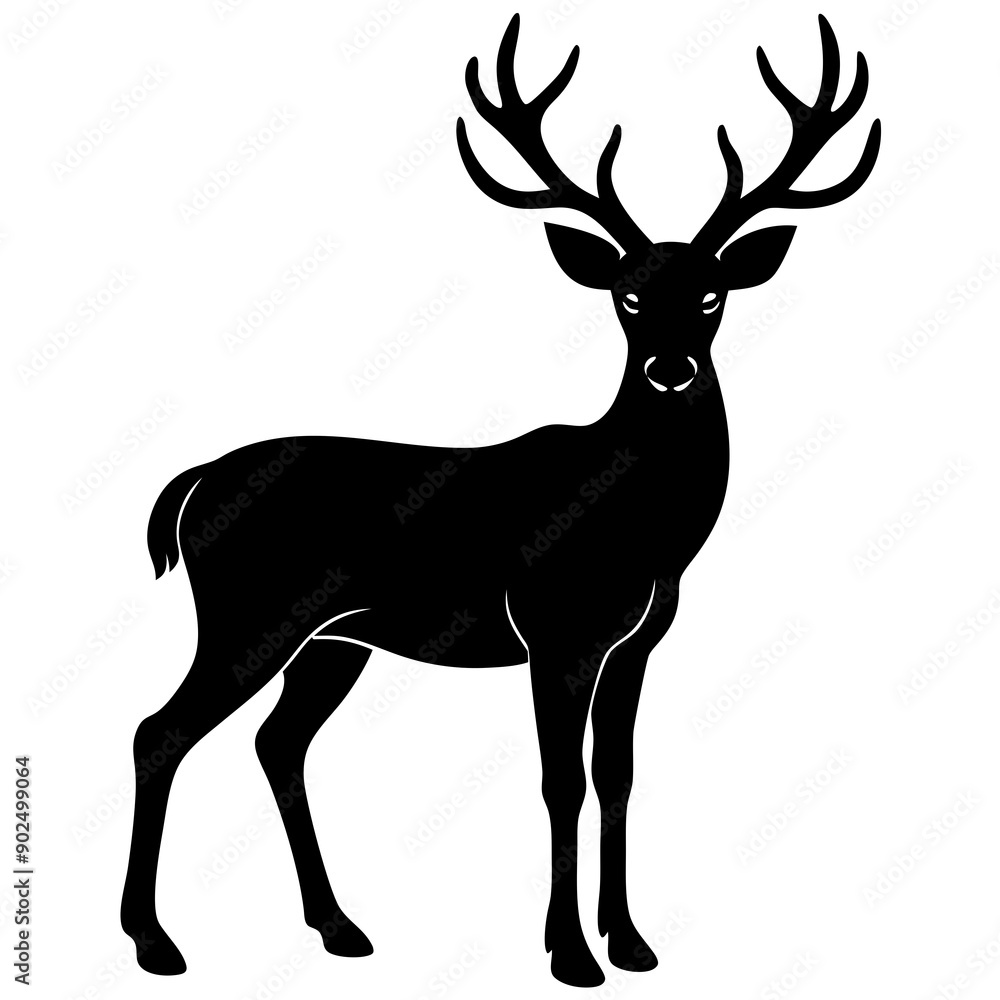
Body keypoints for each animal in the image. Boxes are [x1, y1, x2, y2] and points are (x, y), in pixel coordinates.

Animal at [120, 13, 879, 988]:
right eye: (628, 295)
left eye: (711, 293)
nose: (670, 368)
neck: (645, 529)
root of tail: (194, 481)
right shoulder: (556, 629)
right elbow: (561, 780)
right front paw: (571, 955)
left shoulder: (635, 642)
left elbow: (617, 773)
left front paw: (632, 943)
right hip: (247, 613)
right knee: (160, 731)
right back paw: (154, 941)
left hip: (332, 639)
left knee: (276, 743)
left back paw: (339, 926)